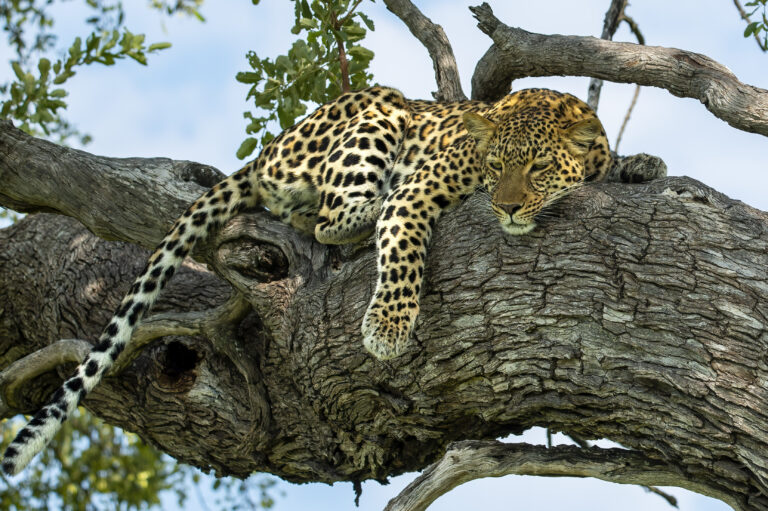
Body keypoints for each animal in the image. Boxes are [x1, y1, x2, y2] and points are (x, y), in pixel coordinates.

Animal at [6, 86, 652, 474]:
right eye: (496, 166)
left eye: (538, 168)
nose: (509, 207)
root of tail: (271, 146)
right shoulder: (422, 192)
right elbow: (403, 253)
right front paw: (387, 329)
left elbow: (615, 163)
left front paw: (642, 164)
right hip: (376, 118)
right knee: (320, 218)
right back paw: (359, 216)